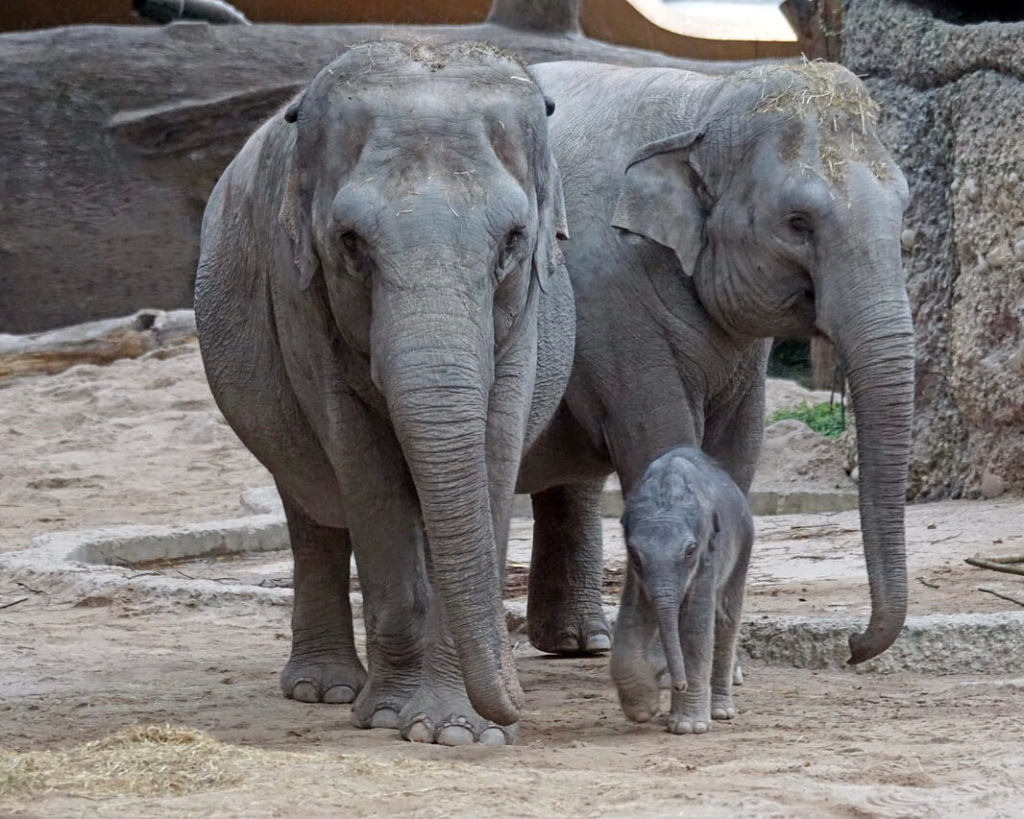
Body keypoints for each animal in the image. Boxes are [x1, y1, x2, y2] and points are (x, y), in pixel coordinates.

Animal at [194, 40, 574, 746]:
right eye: (350, 242)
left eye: (513, 240)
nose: (518, 700)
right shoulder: (299, 296)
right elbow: (362, 464)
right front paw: (397, 717)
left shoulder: (527, 316)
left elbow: (494, 447)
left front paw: (460, 730)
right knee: (309, 505)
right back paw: (326, 689)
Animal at [514, 59, 914, 670]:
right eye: (798, 222)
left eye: (904, 208)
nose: (851, 645)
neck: (708, 101)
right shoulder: (612, 300)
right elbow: (660, 437)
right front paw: (671, 667)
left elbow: (738, 452)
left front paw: (725, 669)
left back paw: (581, 645)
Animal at [612, 446, 753, 735]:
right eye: (635, 555)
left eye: (690, 552)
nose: (680, 684)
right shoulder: (636, 575)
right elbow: (631, 619)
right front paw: (645, 708)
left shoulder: (708, 556)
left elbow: (694, 625)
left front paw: (689, 727)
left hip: (743, 547)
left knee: (726, 622)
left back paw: (721, 712)